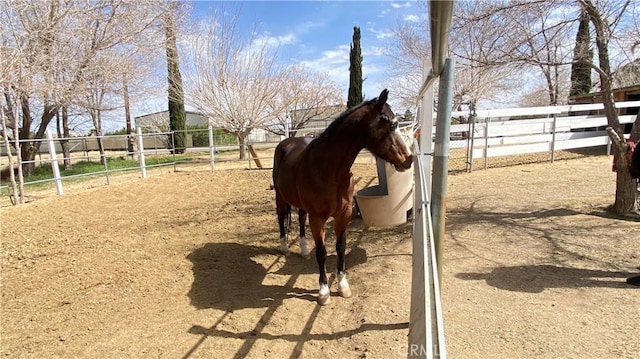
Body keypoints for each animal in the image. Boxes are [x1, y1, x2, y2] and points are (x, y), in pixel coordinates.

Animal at [272, 88, 412, 306]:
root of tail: (287, 142)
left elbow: (340, 247)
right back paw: (285, 247)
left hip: (301, 206)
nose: (408, 159)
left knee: (301, 220)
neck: (329, 170)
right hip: (281, 197)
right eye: (392, 124)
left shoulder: (343, 215)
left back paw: (303, 251)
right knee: (281, 218)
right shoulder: (317, 218)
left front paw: (343, 286)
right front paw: (323, 292)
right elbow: (321, 252)